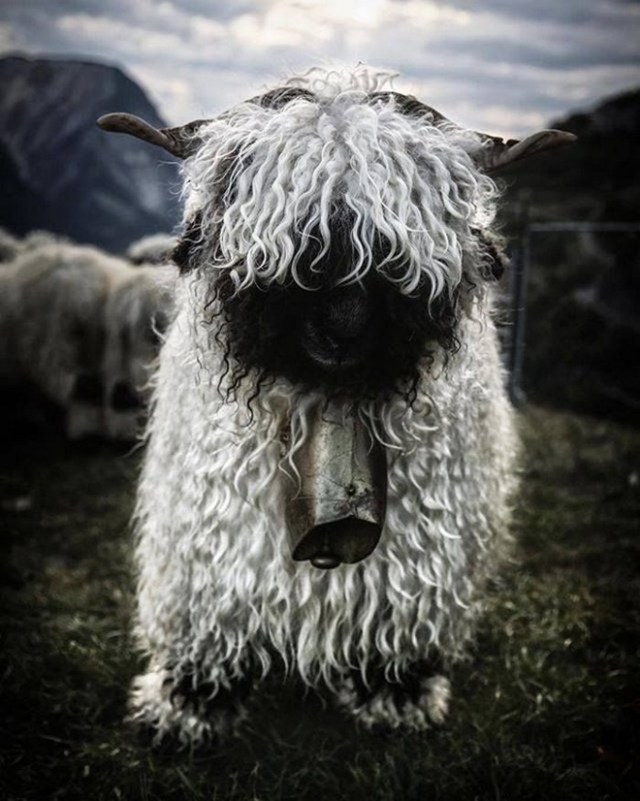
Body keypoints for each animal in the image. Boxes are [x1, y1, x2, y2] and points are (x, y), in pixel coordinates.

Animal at [100, 67, 576, 744]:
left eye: (401, 249)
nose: (342, 331)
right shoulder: (210, 523)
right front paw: (192, 701)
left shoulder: (422, 542)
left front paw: (395, 692)